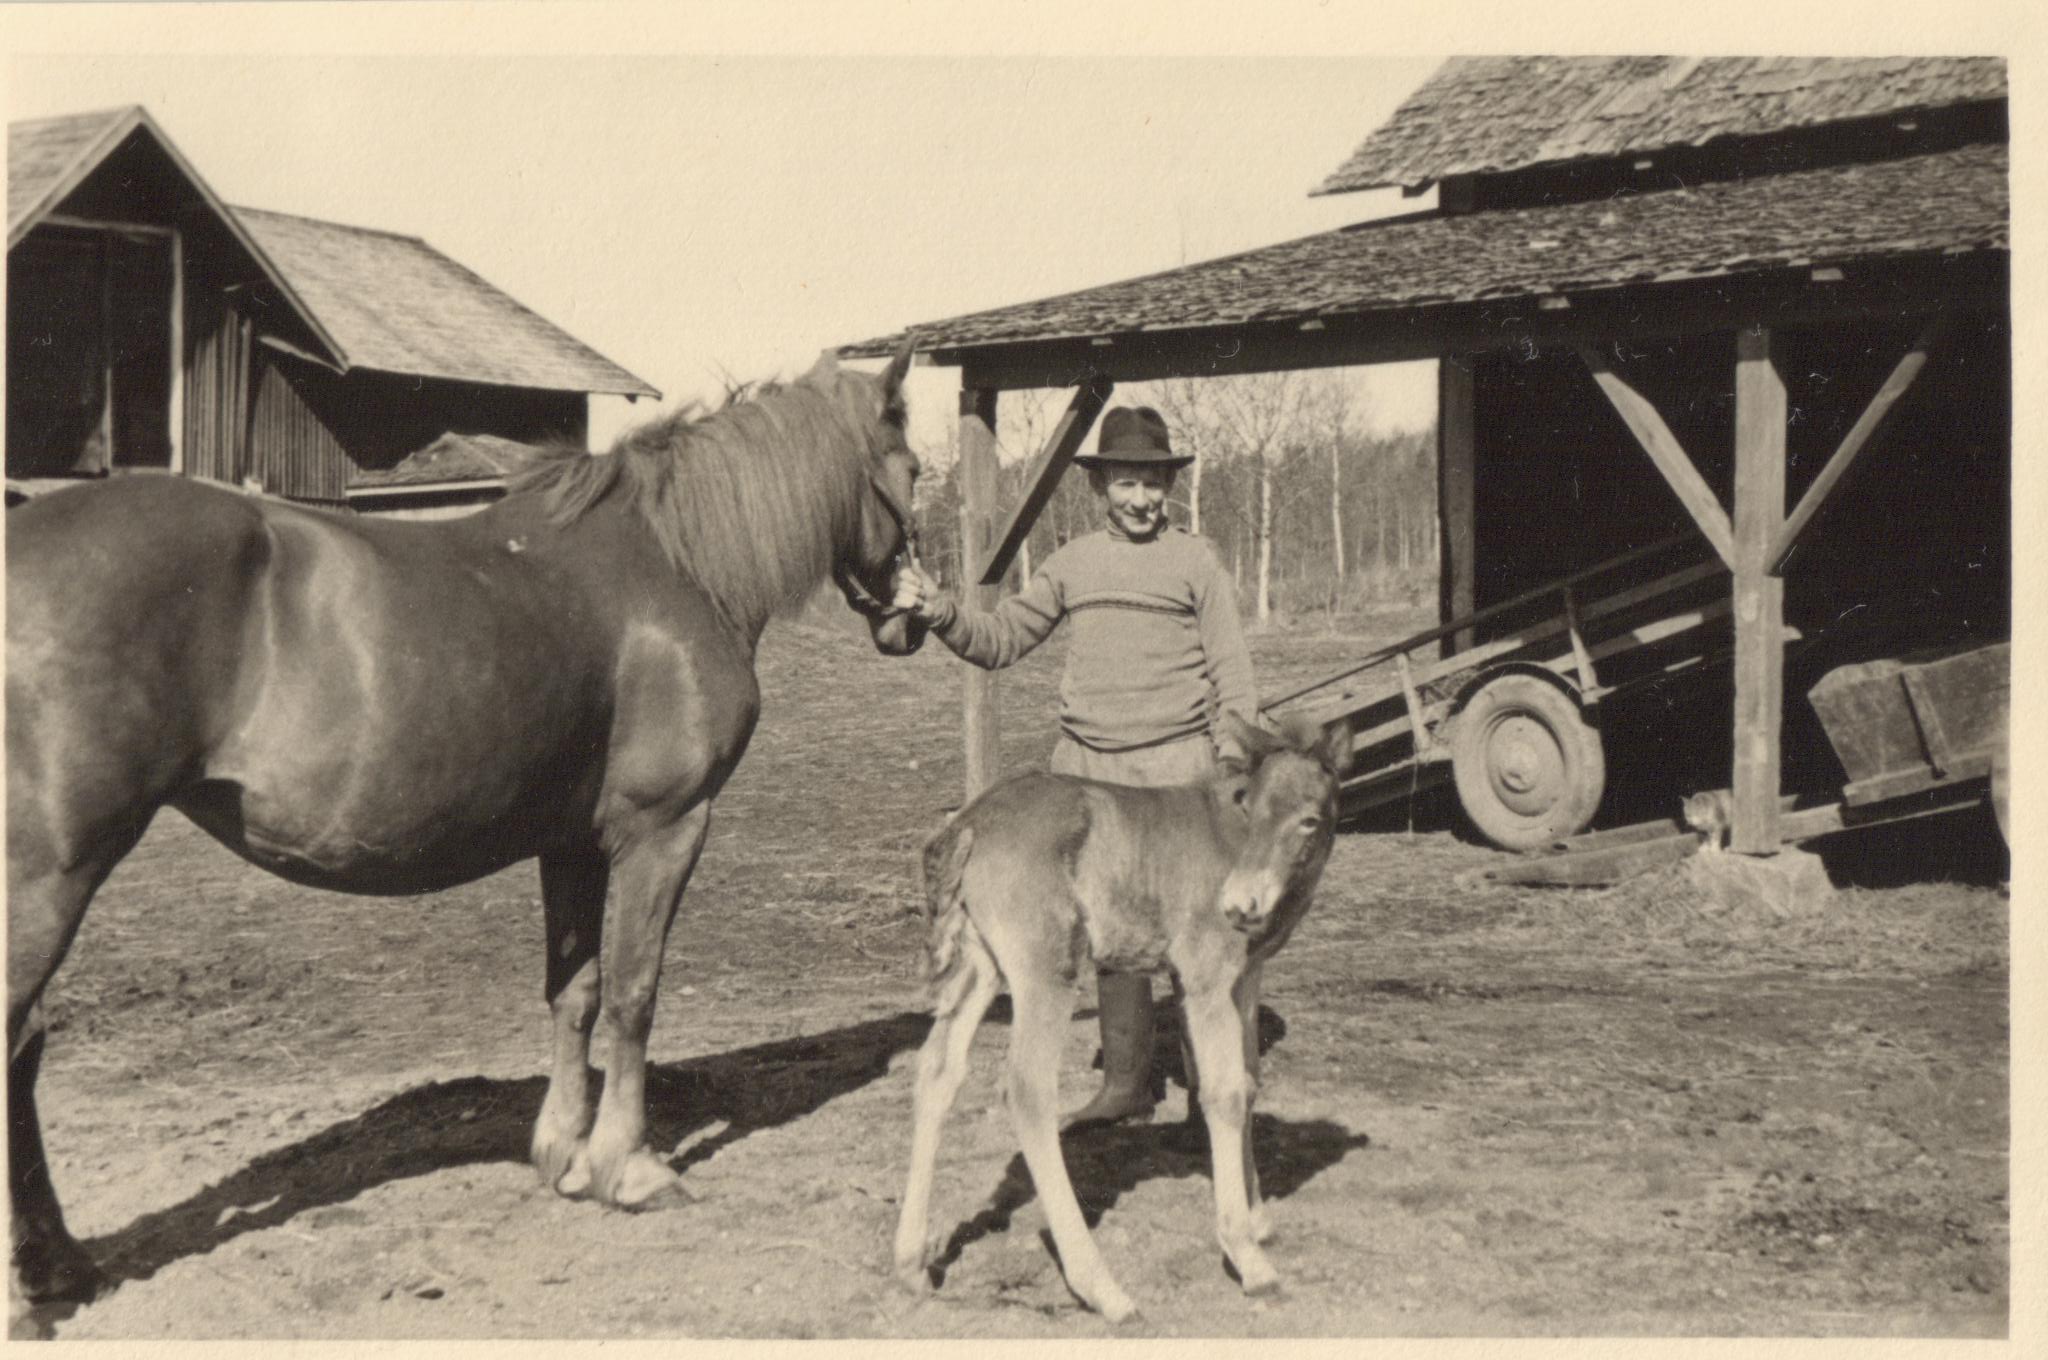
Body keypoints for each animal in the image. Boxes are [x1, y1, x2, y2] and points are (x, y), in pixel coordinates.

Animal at [6, 342, 922, 1305]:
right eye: (912, 470)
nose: (913, 617)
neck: (675, 565)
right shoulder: (663, 829)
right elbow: (634, 993)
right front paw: (629, 1168)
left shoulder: (572, 844)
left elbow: (576, 993)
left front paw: (563, 1153)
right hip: (51, 878)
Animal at [893, 711, 1351, 1323]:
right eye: (1250, 807)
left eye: (1307, 820)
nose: (1239, 903)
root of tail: (969, 823)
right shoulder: (1205, 975)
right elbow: (1225, 1093)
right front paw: (1247, 1257)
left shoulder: (1247, 975)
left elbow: (1250, 1081)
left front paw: (1257, 1219)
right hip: (1047, 967)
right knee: (1027, 1091)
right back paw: (1102, 1287)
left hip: (980, 968)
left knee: (938, 1071)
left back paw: (911, 1265)